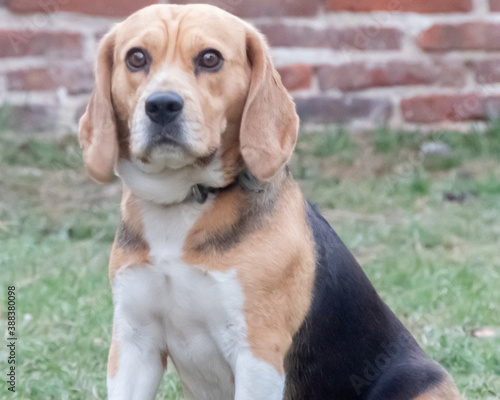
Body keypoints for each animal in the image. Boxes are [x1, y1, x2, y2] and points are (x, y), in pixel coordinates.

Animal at [79, 3, 460, 400]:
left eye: (210, 59)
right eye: (136, 58)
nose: (162, 105)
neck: (185, 199)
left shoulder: (257, 351)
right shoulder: (134, 343)